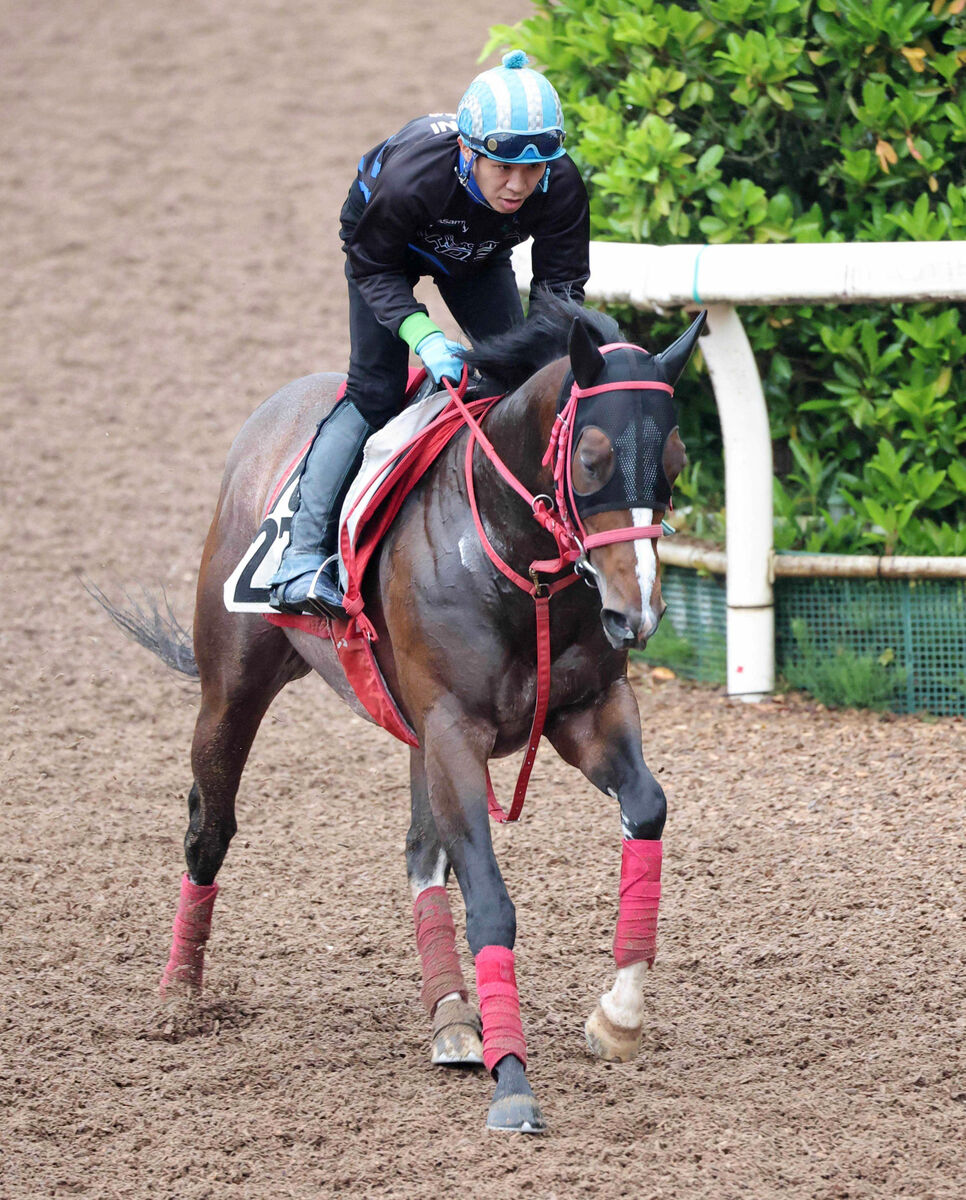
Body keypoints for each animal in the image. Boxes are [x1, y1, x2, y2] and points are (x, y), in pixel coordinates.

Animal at [99, 300, 700, 1132]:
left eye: (675, 462)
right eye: (591, 458)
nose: (636, 612)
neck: (514, 564)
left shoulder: (585, 710)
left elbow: (645, 807)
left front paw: (618, 1017)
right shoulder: (454, 731)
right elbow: (490, 901)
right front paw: (513, 1083)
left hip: (414, 730)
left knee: (420, 852)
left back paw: (452, 1014)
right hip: (232, 691)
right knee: (208, 831)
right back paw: (178, 999)